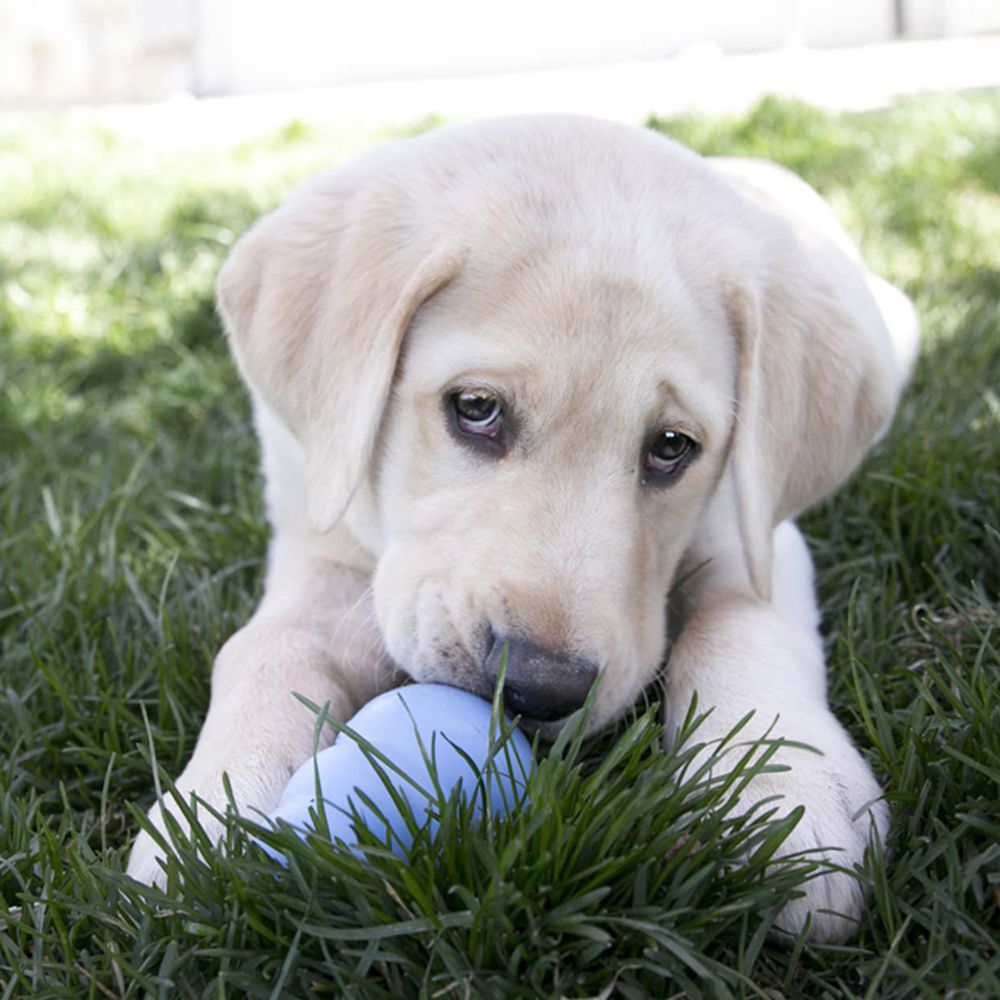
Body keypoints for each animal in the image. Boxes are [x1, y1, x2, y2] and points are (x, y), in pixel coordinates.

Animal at [129, 119, 916, 944]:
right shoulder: (315, 531)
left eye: (672, 447)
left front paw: (785, 797)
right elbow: (266, 645)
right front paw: (218, 807)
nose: (541, 687)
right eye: (476, 408)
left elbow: (740, 623)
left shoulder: (754, 532)